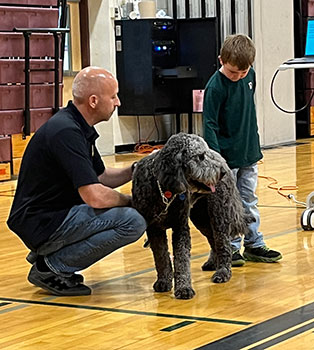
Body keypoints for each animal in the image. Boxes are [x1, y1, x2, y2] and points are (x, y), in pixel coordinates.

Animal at [131, 133, 251, 300]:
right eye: (200, 156)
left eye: (204, 154)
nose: (221, 173)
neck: (164, 189)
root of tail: (220, 157)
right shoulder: (154, 229)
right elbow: (161, 257)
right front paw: (164, 281)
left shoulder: (180, 227)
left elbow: (182, 259)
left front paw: (184, 288)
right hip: (201, 219)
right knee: (213, 241)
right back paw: (213, 263)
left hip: (218, 215)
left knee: (223, 244)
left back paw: (223, 272)